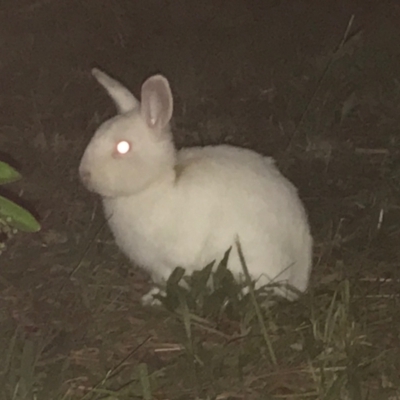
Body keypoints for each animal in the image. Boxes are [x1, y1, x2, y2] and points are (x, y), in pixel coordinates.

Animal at [79, 68, 312, 306]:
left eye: (123, 147)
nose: (84, 174)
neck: (155, 184)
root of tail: (299, 277)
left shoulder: (170, 264)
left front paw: (151, 299)